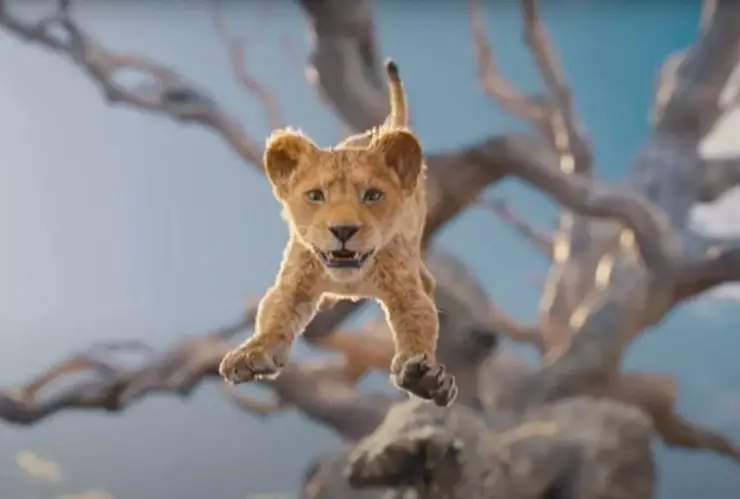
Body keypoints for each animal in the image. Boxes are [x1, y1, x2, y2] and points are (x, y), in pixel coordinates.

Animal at [218, 59, 457, 407]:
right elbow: (273, 315)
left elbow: (418, 323)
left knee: (427, 281)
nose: (343, 229)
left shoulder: (405, 289)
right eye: (316, 195)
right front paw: (252, 353)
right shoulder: (295, 281)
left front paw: (424, 378)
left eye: (372, 195)